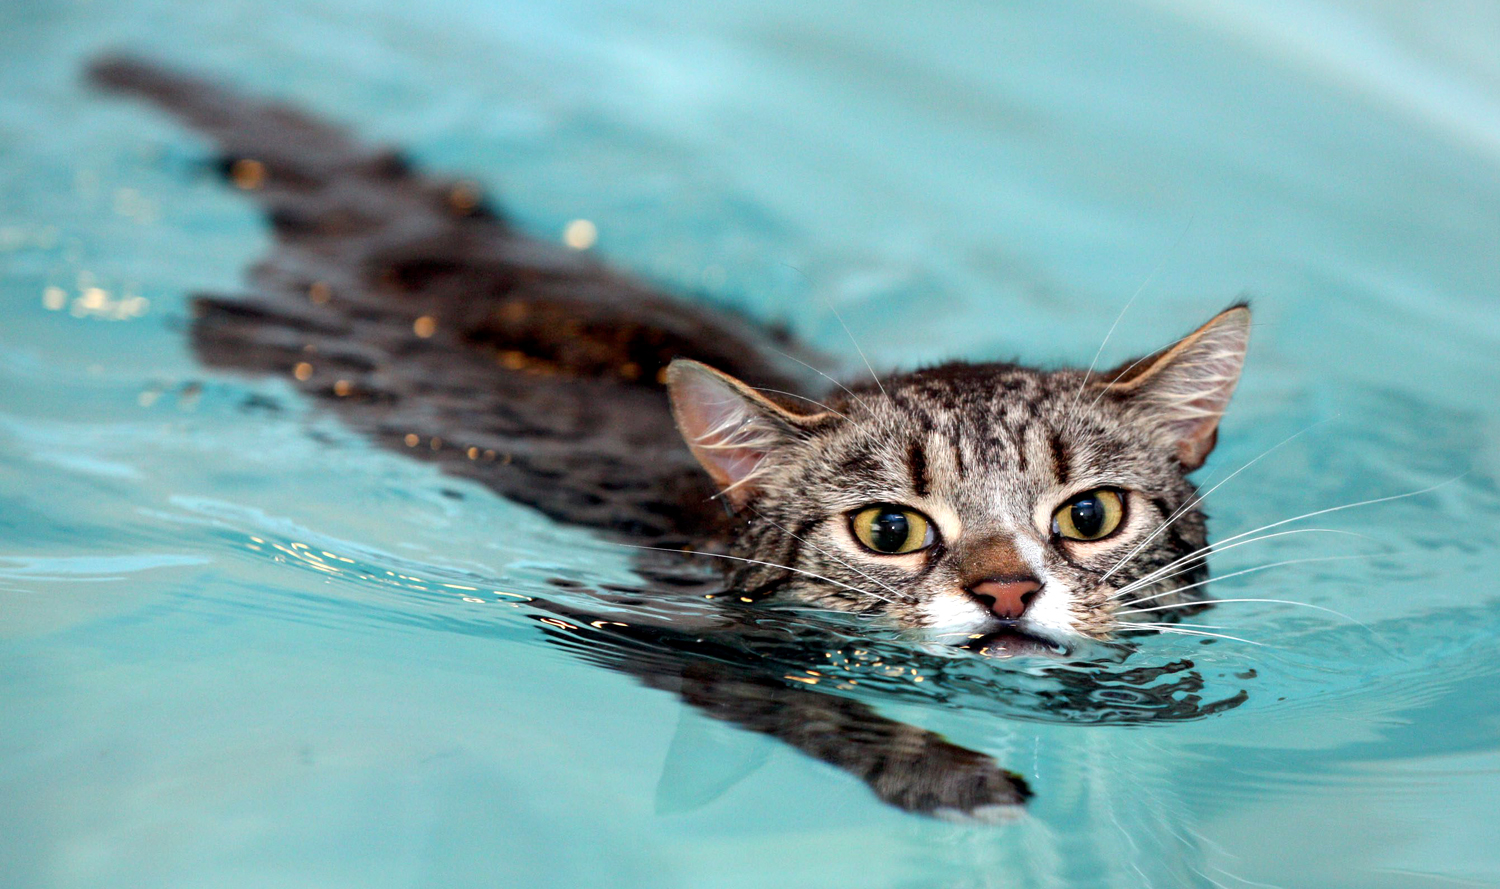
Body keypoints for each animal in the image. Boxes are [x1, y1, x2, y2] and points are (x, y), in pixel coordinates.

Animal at [87, 57, 1248, 815]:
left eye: (1088, 514)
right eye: (889, 529)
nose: (1007, 592)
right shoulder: (620, 622)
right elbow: (803, 709)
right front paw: (952, 773)